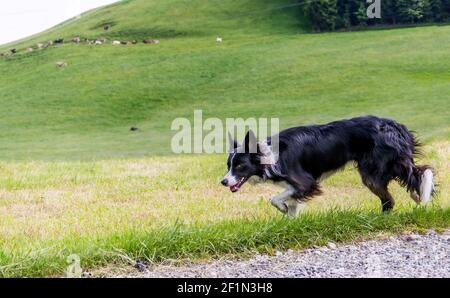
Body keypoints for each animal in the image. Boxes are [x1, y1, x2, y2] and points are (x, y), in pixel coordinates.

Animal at [223, 115, 434, 215]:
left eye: (239, 166)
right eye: (228, 165)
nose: (223, 182)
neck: (269, 154)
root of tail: (396, 127)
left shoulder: (305, 182)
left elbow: (275, 198)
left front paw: (282, 208)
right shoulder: (295, 185)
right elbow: (291, 204)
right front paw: (290, 221)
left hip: (372, 174)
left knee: (391, 199)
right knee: (415, 178)